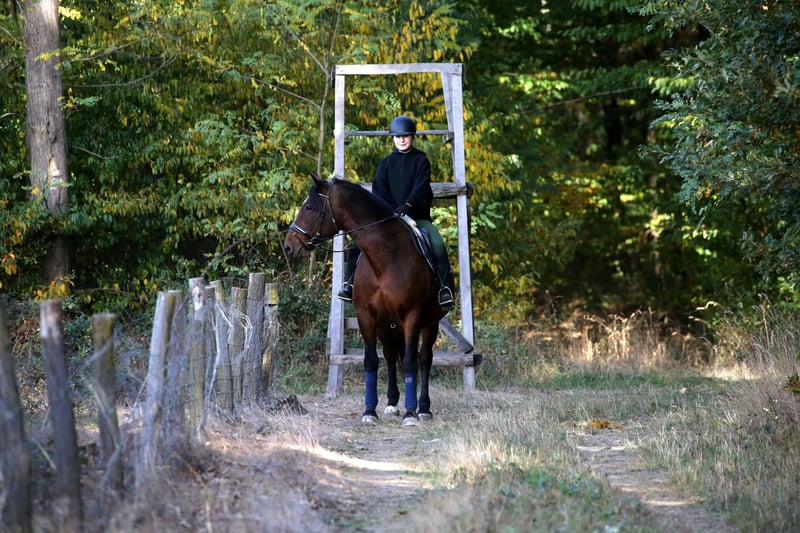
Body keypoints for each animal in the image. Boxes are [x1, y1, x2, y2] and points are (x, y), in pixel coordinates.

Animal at [283, 173, 446, 427]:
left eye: (309, 207)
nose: (289, 246)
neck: (386, 257)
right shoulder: (366, 316)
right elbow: (371, 361)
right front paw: (370, 411)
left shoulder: (412, 316)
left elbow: (411, 361)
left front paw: (410, 414)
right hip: (386, 325)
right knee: (390, 356)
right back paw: (392, 403)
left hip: (430, 322)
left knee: (424, 358)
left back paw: (423, 408)